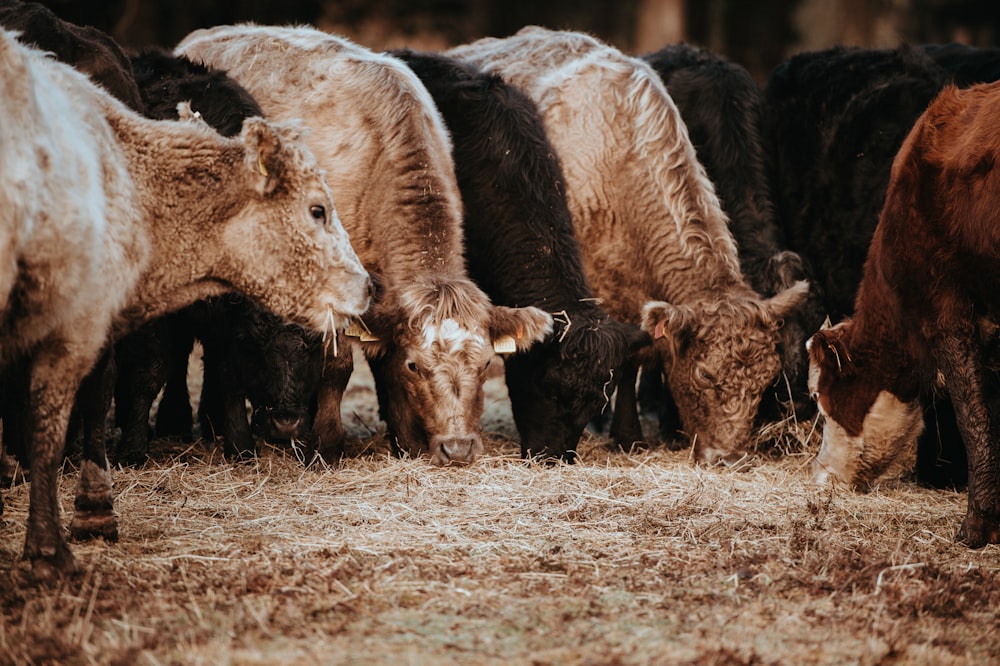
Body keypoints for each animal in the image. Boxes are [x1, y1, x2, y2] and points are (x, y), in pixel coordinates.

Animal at [179, 24, 556, 466]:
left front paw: (405, 442)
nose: (458, 447)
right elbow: (339, 364)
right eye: (415, 366)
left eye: (484, 367)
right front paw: (326, 444)